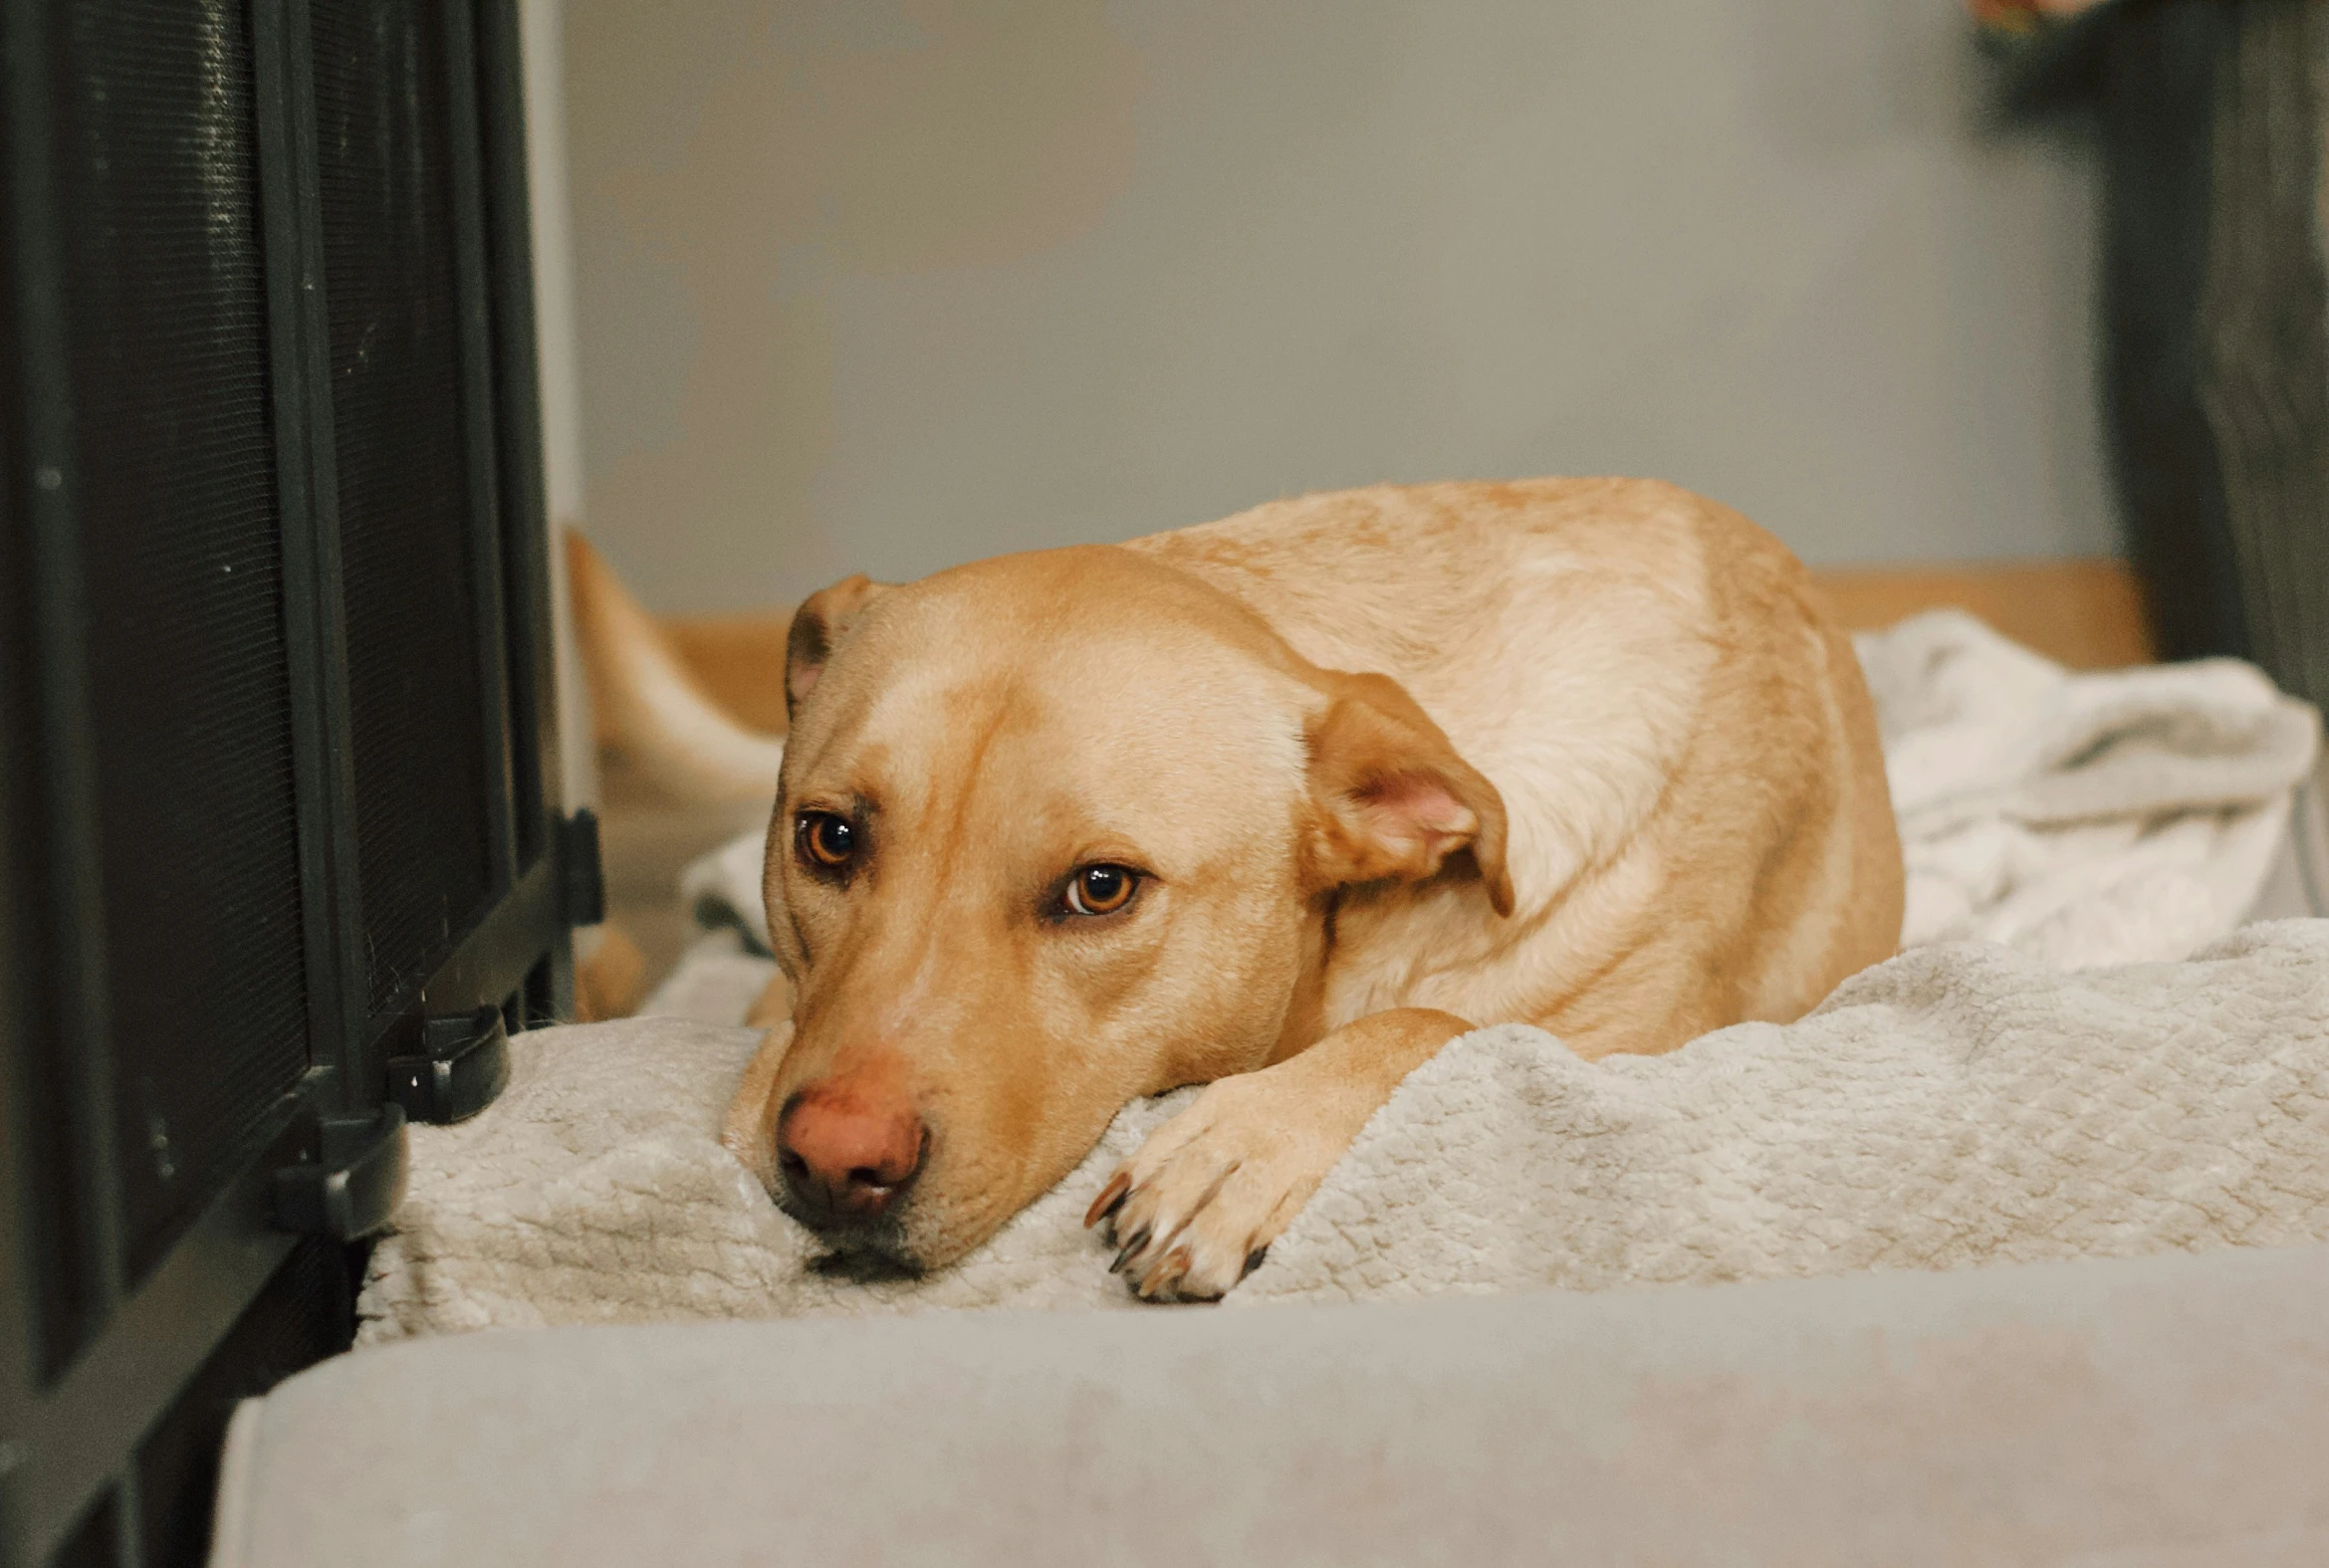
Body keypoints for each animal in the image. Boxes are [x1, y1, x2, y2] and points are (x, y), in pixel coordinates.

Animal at [573, 477, 1900, 1295]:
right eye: (830, 839)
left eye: (1101, 889)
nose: (834, 1162)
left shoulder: (1651, 1053)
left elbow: (1436, 1025)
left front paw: (1237, 1148)